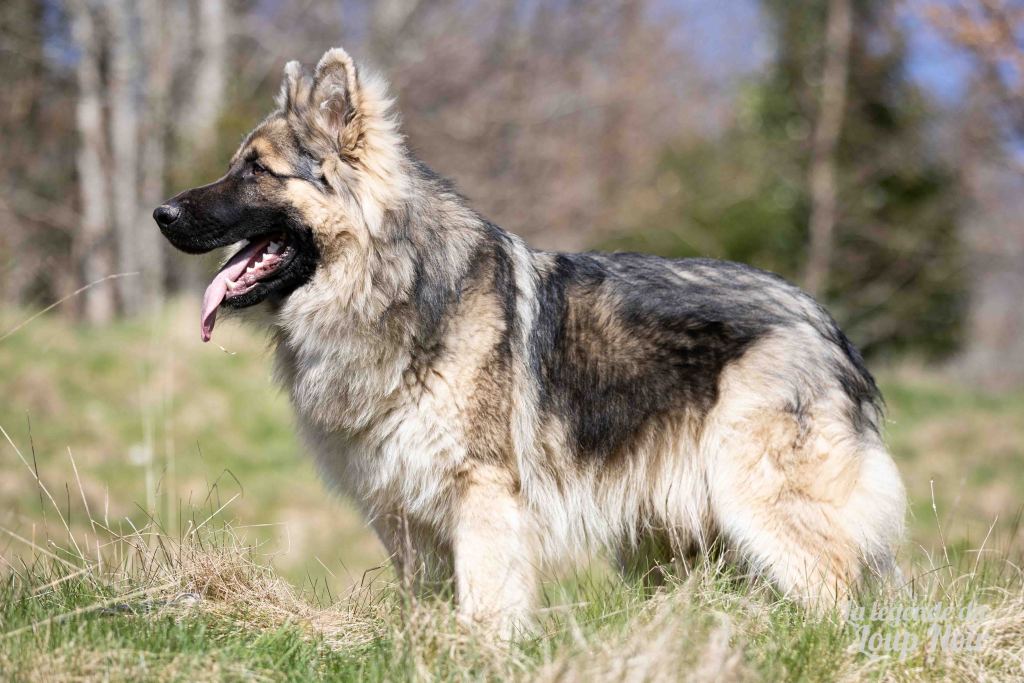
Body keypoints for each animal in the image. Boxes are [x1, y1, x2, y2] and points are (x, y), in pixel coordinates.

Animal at [154, 46, 906, 637]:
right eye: (235, 164)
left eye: (257, 171)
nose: (161, 213)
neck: (397, 283)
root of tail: (826, 322)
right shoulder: (407, 515)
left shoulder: (483, 495)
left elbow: (487, 602)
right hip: (669, 533)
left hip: (757, 497)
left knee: (832, 591)